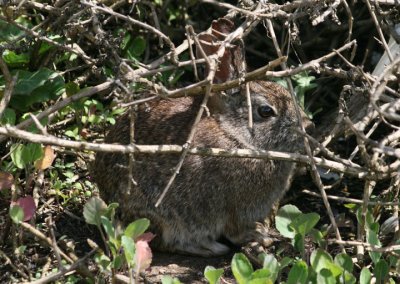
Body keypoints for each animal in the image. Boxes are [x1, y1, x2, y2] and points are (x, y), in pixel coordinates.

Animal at [94, 17, 312, 258]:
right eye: (266, 111)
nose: (308, 126)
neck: (235, 135)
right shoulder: (234, 207)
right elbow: (235, 230)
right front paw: (258, 235)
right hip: (162, 215)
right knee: (164, 241)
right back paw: (209, 247)